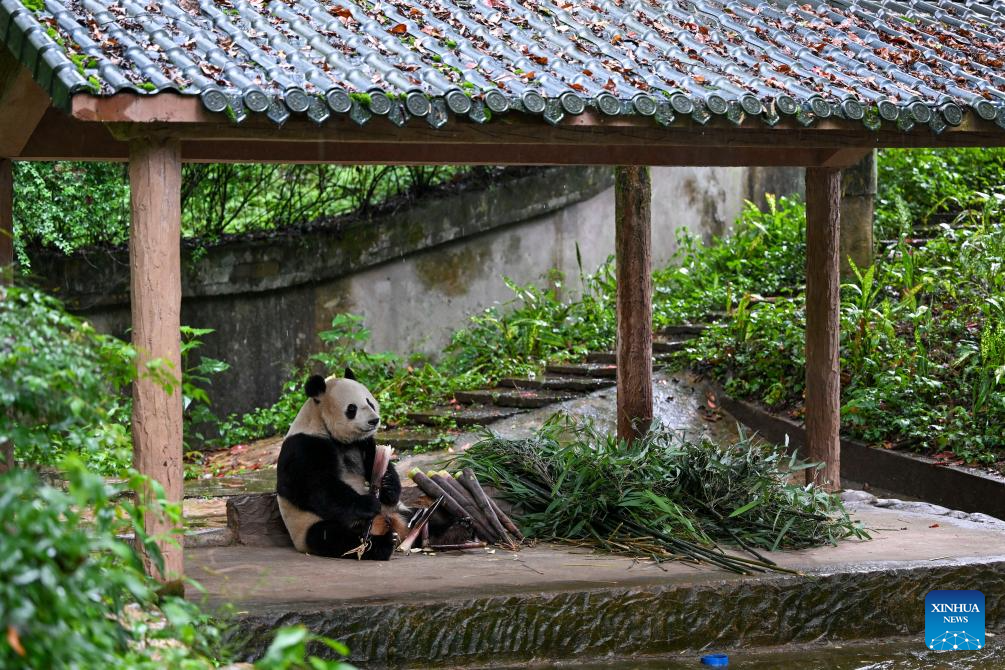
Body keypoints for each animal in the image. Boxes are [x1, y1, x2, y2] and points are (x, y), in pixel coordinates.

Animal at [275, 367, 408, 562]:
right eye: (352, 408)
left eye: (370, 402)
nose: (374, 420)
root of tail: (386, 523)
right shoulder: (303, 446)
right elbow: (316, 487)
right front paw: (368, 504)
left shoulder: (363, 442)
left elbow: (375, 462)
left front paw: (388, 486)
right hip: (310, 525)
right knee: (332, 537)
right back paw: (383, 544)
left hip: (395, 509)